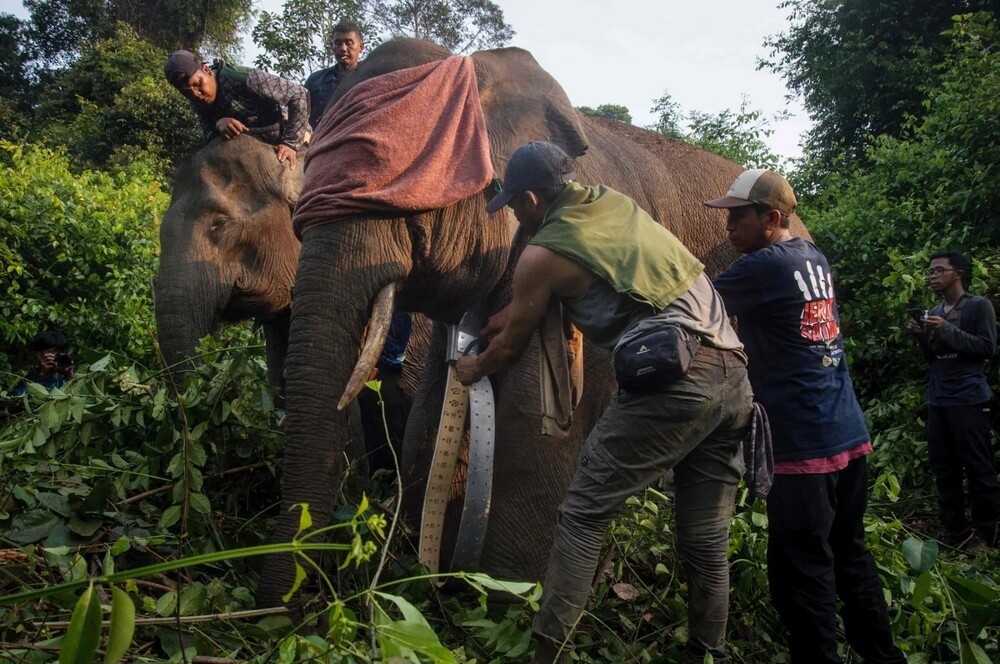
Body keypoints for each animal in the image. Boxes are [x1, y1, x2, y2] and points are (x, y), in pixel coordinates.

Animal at [254, 37, 808, 608]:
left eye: (404, 199)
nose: (286, 609)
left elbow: (530, 421)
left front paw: (505, 594)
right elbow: (435, 403)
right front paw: (427, 569)